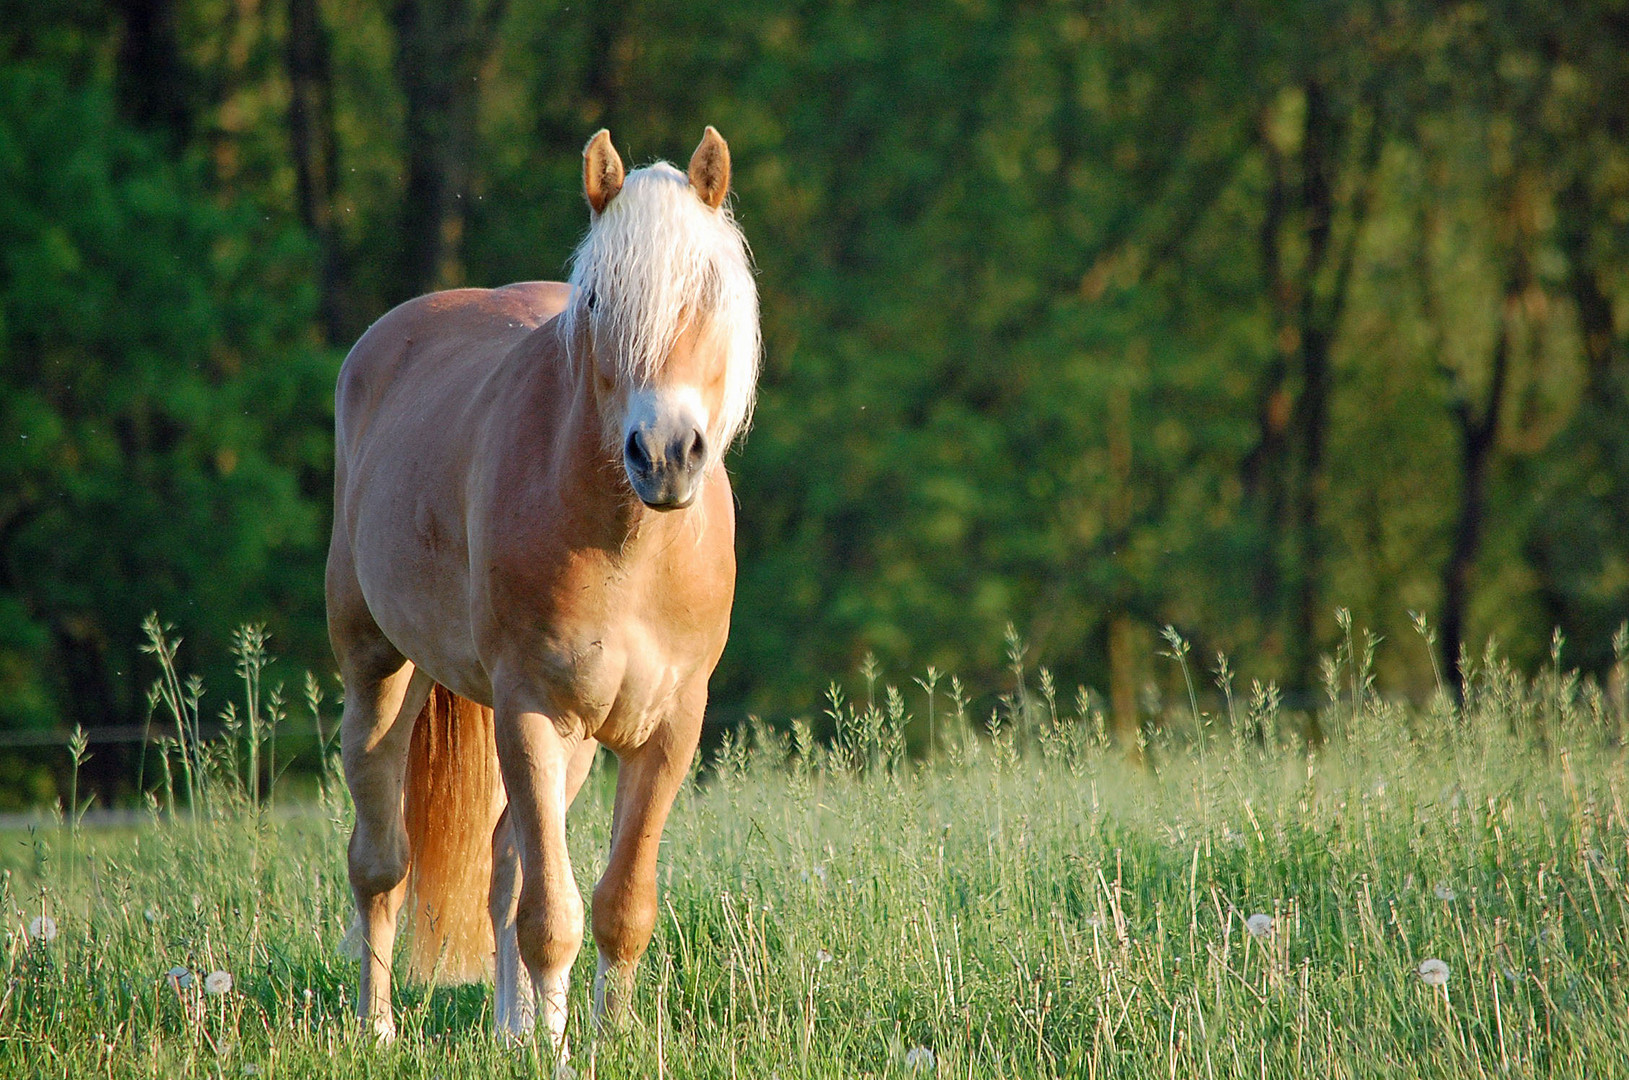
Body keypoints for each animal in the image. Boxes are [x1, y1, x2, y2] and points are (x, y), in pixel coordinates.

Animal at [329, 122, 762, 1062]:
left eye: (709, 292)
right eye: (596, 300)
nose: (664, 454)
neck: (631, 546)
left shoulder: (667, 727)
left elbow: (617, 905)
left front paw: (603, 1040)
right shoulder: (530, 711)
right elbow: (550, 917)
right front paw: (561, 1056)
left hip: (577, 744)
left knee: (502, 865)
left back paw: (509, 1027)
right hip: (378, 671)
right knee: (381, 862)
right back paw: (376, 1028)